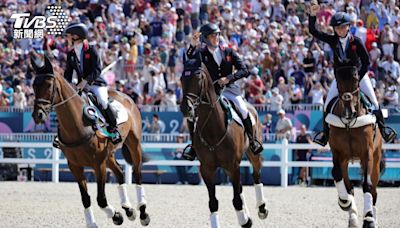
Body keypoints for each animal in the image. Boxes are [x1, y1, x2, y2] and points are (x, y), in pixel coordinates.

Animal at [31, 54, 150, 227]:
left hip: (133, 145)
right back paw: (128, 209)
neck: (78, 124)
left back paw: (142, 212)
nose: (37, 115)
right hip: (109, 154)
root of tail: (127, 97)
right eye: (34, 85)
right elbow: (86, 199)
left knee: (138, 173)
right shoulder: (75, 166)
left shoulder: (98, 164)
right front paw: (96, 222)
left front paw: (116, 216)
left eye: (49, 85)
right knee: (120, 173)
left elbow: (101, 199)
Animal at [181, 62, 268, 228]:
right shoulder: (207, 169)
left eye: (198, 78)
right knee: (240, 187)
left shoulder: (233, 166)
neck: (213, 128)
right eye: (181, 79)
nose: (185, 108)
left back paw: (262, 208)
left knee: (256, 175)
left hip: (252, 154)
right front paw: (245, 220)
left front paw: (245, 221)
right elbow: (213, 203)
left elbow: (236, 200)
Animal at [326, 65, 382, 227]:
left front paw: (368, 220)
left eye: (356, 79)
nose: (348, 111)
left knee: (374, 190)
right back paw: (352, 217)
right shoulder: (338, 154)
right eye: (338, 80)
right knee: (349, 186)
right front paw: (345, 202)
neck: (348, 124)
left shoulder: (367, 154)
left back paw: (372, 219)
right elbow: (337, 174)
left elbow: (367, 185)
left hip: (376, 160)